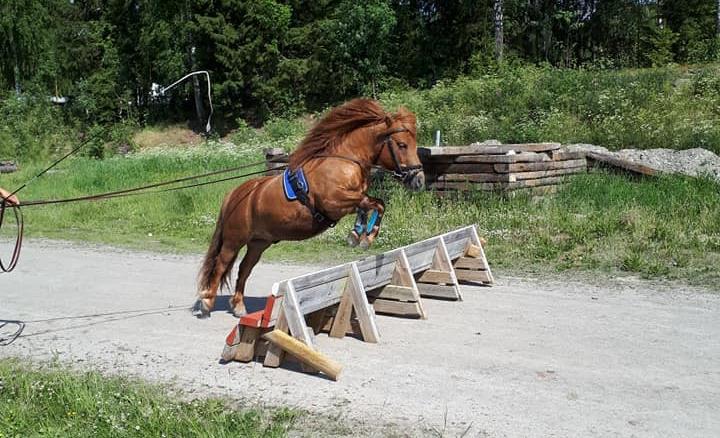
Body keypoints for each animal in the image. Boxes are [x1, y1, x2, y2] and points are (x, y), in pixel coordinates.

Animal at [194, 99, 424, 318]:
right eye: (402, 144)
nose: (419, 179)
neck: (344, 161)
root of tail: (236, 193)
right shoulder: (335, 202)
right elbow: (376, 204)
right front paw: (365, 238)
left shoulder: (352, 200)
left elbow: (371, 205)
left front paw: (358, 235)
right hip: (234, 240)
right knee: (221, 265)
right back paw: (207, 303)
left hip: (258, 242)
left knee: (244, 269)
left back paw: (239, 306)